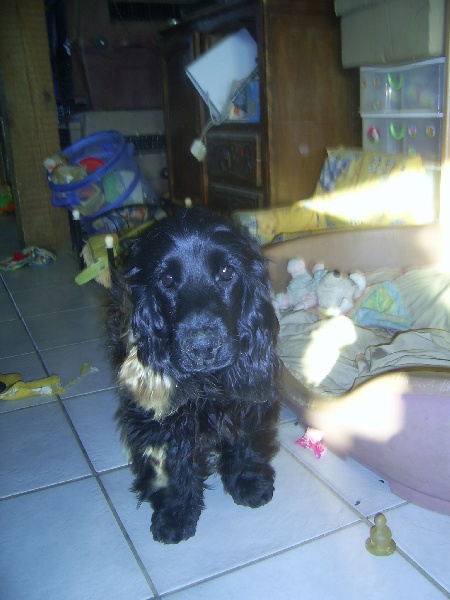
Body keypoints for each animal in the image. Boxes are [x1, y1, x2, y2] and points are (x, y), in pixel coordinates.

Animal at [108, 207, 281, 544]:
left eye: (226, 272)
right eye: (167, 279)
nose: (202, 347)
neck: (207, 384)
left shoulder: (247, 394)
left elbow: (245, 437)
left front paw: (248, 481)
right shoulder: (163, 421)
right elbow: (173, 462)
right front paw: (175, 513)